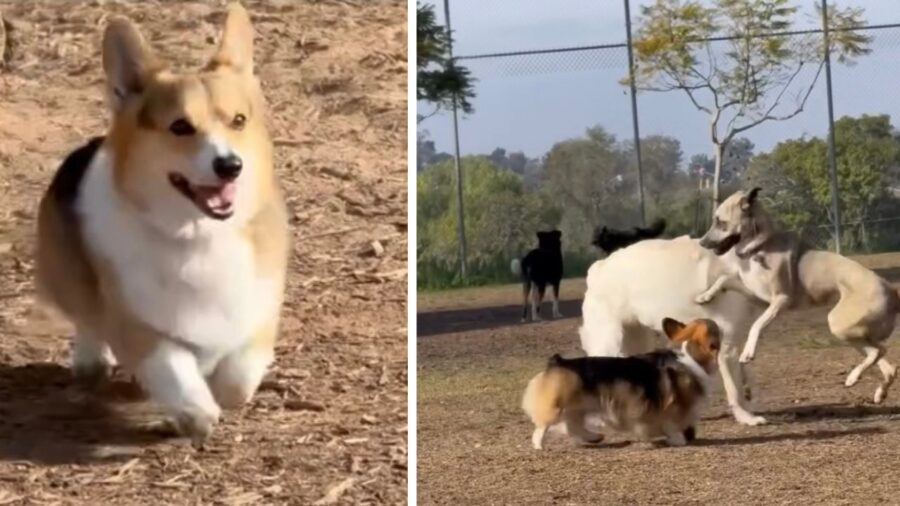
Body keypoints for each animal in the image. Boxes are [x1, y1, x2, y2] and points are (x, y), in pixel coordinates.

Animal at [35, 2, 286, 442]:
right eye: (180, 126)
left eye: (238, 121)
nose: (230, 166)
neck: (197, 235)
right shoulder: (135, 321)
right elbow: (169, 363)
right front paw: (195, 410)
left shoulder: (260, 307)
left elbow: (239, 376)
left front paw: (221, 389)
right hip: (67, 274)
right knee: (86, 316)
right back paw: (91, 359)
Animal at [576, 235, 768, 424]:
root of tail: (598, 268)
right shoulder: (726, 346)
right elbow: (734, 391)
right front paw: (746, 417)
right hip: (609, 343)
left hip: (636, 342)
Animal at [700, 189, 896, 404]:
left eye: (721, 222)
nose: (702, 242)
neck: (759, 248)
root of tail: (891, 290)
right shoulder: (758, 296)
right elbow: (724, 279)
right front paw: (705, 296)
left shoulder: (781, 300)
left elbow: (756, 324)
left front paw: (748, 351)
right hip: (853, 333)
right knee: (886, 362)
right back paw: (879, 392)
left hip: (839, 324)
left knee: (879, 351)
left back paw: (853, 377)